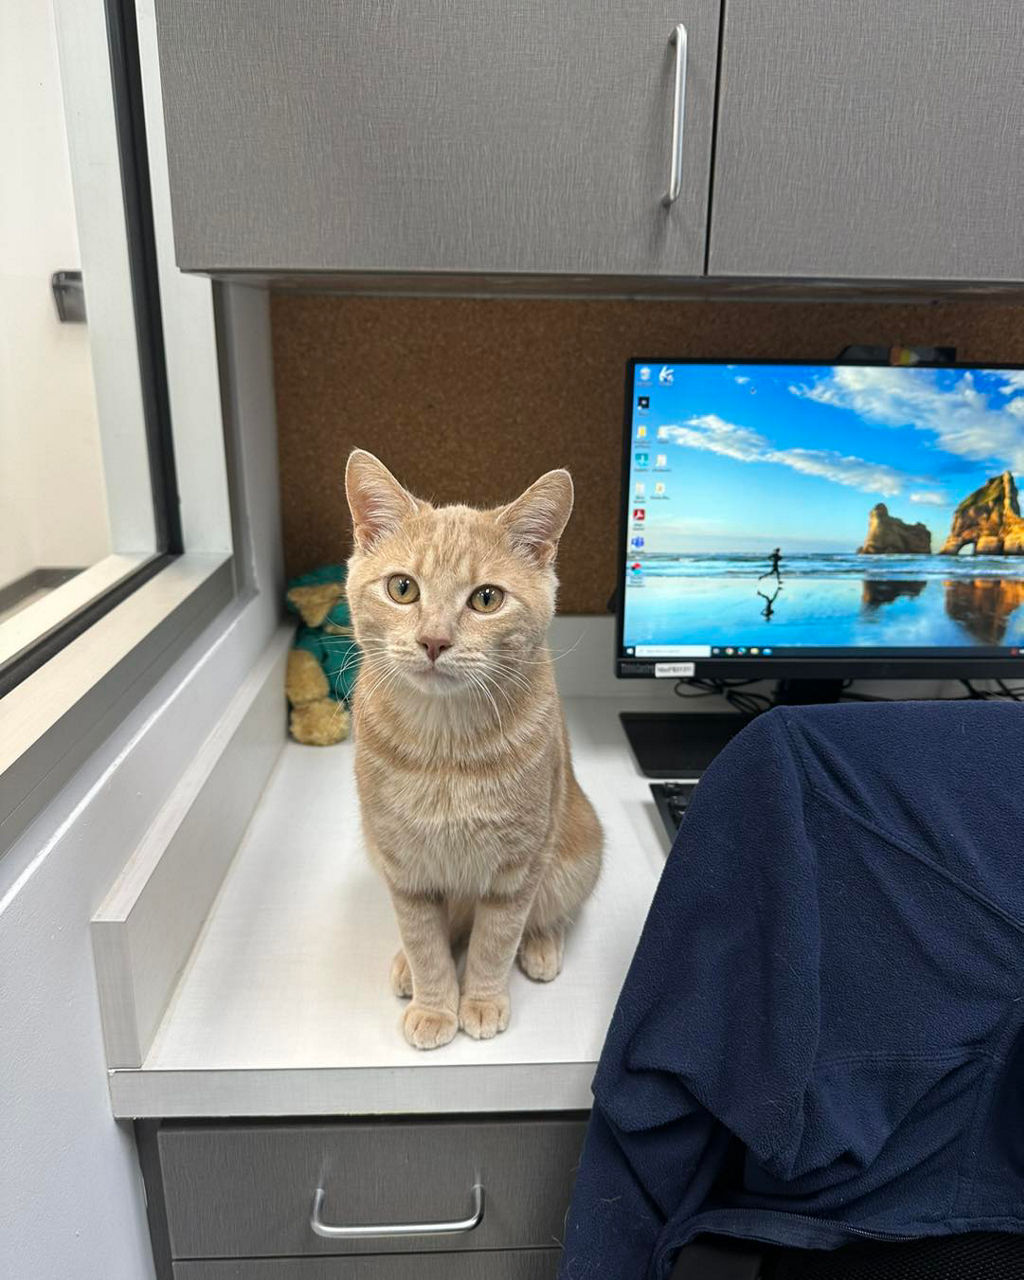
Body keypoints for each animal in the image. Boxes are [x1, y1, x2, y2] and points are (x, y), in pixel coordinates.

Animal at [343, 450, 599, 1049]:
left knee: (547, 914)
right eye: (403, 588)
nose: (434, 640)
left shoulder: (518, 869)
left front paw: (480, 1001)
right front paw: (436, 1003)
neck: (444, 750)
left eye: (486, 599)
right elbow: (427, 942)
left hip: (573, 857)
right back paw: (406, 969)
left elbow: (494, 941)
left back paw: (541, 946)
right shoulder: (404, 867)